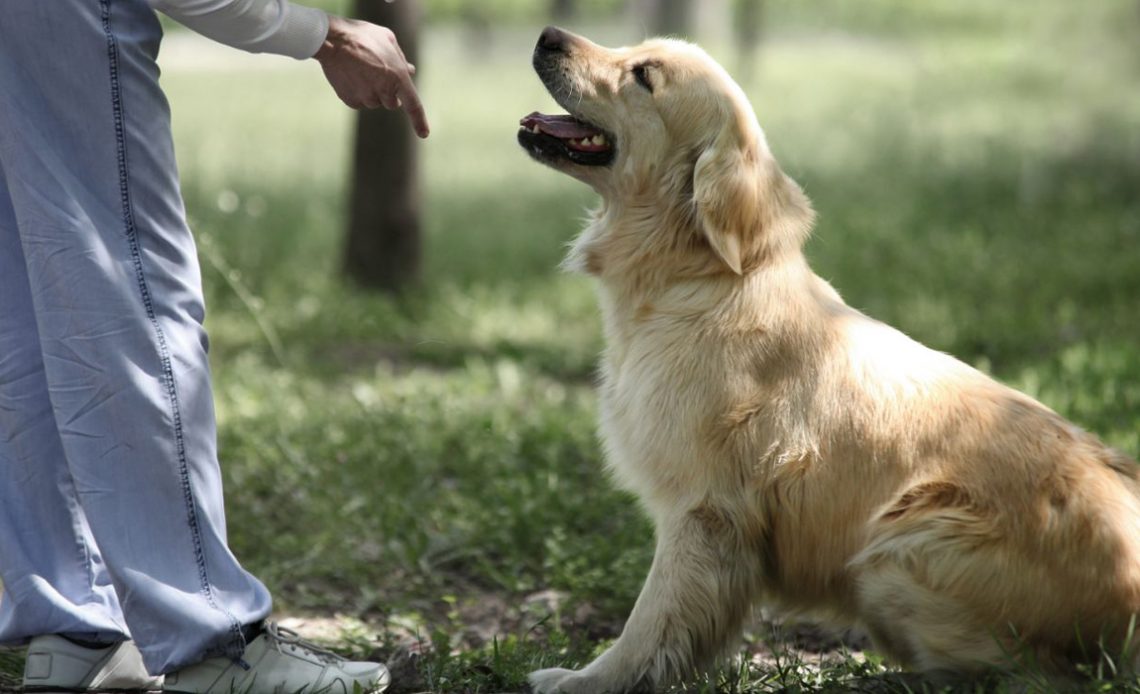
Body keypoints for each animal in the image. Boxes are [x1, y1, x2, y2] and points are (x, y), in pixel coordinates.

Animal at [519, 24, 1140, 688]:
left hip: (897, 549)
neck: (699, 277)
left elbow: (650, 623)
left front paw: (586, 680)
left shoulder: (704, 512)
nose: (548, 34)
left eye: (644, 76)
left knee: (1027, 673)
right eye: (635, 49)